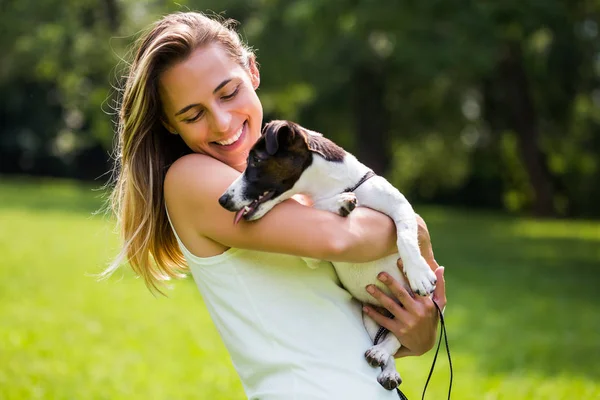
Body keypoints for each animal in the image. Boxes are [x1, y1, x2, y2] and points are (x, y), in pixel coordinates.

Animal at [219, 120, 436, 390]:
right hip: (369, 315)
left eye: (256, 160)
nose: (222, 200)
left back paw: (384, 355)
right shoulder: (315, 251)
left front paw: (418, 274)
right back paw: (386, 365)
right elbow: (316, 206)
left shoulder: (400, 205)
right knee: (386, 338)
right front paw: (340, 203)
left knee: (396, 338)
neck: (333, 186)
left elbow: (405, 235)